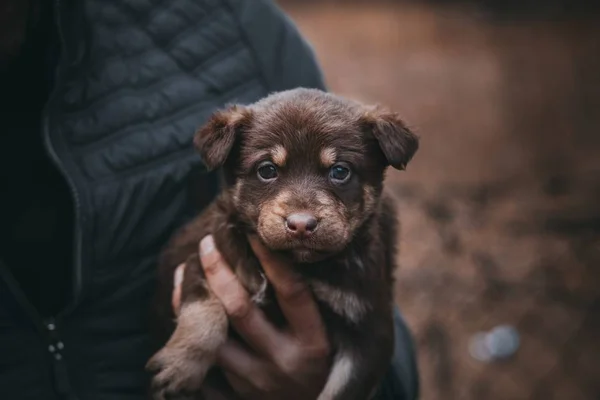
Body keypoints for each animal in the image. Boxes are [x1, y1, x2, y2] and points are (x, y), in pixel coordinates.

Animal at [148, 88, 420, 400]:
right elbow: (204, 308)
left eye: (340, 171)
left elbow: (341, 391)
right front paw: (179, 366)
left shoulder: (369, 329)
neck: (304, 266)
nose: (301, 224)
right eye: (267, 170)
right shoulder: (203, 252)